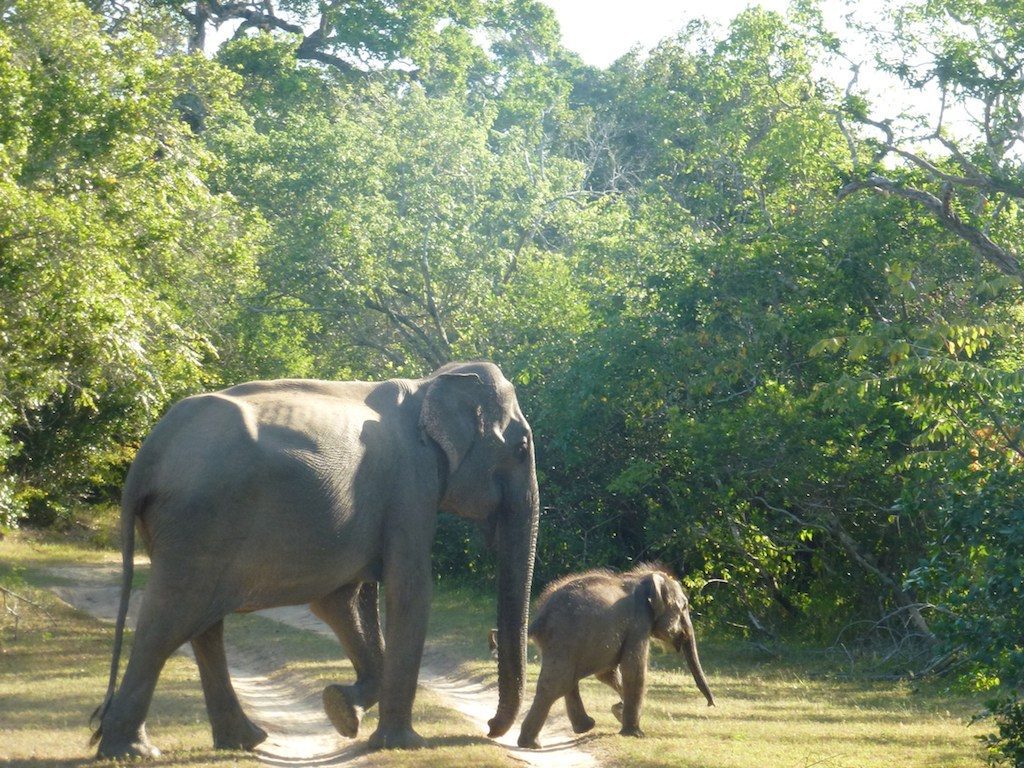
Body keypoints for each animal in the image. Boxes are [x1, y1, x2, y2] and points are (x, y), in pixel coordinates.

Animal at [92, 360, 540, 757]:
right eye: (521, 449)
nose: (490, 729)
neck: (429, 385)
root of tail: (149, 454)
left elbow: (340, 601)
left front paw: (342, 710)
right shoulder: (410, 485)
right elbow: (409, 591)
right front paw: (403, 744)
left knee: (203, 626)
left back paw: (244, 741)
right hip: (199, 519)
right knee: (169, 620)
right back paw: (135, 750)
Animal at [520, 565, 712, 753]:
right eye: (684, 607)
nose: (711, 704)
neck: (644, 578)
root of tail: (539, 618)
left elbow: (606, 673)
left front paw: (618, 710)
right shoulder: (638, 622)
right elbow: (634, 669)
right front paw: (635, 733)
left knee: (567, 681)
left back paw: (583, 727)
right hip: (564, 638)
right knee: (558, 683)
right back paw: (531, 743)